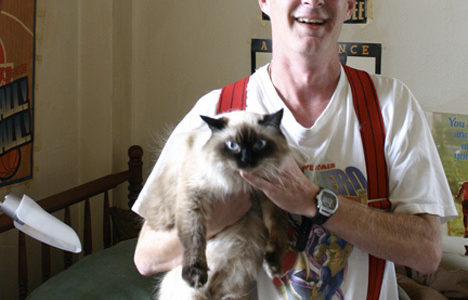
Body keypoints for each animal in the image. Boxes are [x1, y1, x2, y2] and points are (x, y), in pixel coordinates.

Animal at [145, 109, 292, 298]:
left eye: (259, 144)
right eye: (232, 145)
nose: (246, 160)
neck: (241, 183)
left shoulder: (269, 196)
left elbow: (277, 230)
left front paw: (273, 265)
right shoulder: (192, 198)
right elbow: (194, 237)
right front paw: (196, 274)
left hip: (234, 294)